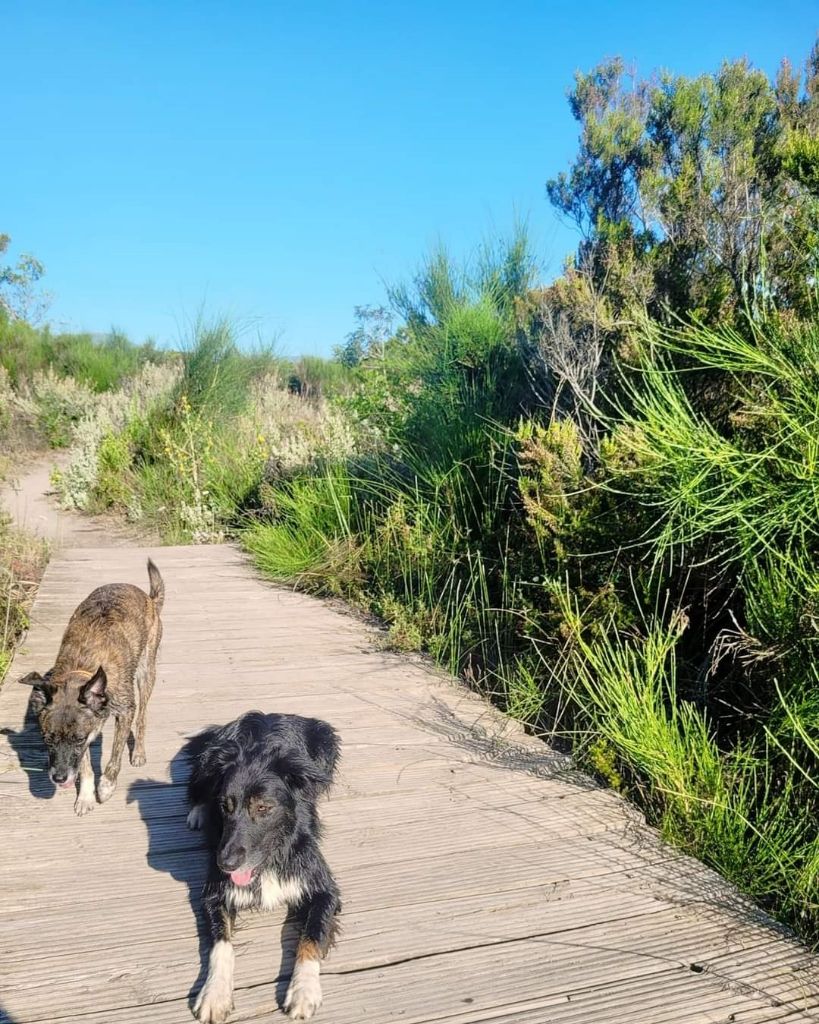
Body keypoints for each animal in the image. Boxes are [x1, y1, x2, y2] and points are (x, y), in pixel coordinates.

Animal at [20, 561, 164, 815]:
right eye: (47, 740)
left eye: (77, 740)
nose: (59, 778)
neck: (83, 667)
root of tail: (149, 598)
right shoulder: (89, 731)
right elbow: (85, 766)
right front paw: (86, 796)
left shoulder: (124, 712)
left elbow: (114, 757)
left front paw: (105, 787)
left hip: (146, 673)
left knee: (142, 717)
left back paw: (138, 752)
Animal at [184, 716, 339, 1019]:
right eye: (225, 806)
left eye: (263, 808)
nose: (225, 863)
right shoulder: (214, 894)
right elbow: (221, 946)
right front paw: (214, 994)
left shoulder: (324, 890)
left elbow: (311, 937)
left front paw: (303, 990)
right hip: (208, 762)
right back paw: (197, 813)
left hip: (326, 739)